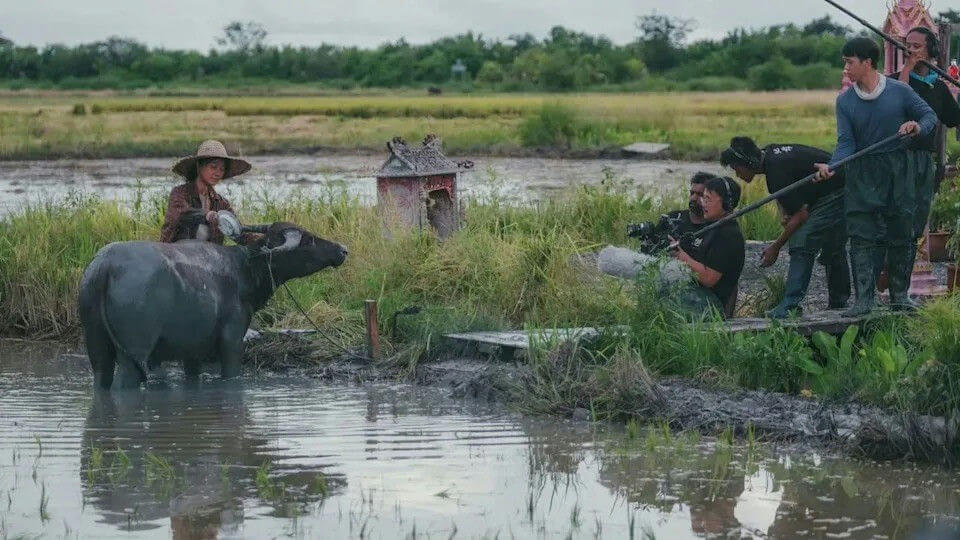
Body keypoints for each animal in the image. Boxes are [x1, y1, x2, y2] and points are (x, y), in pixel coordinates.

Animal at [78, 220, 348, 389]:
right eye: (309, 239)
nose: (343, 249)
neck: (243, 269)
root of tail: (104, 267)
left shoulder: (192, 352)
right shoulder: (232, 341)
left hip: (96, 347)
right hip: (133, 353)